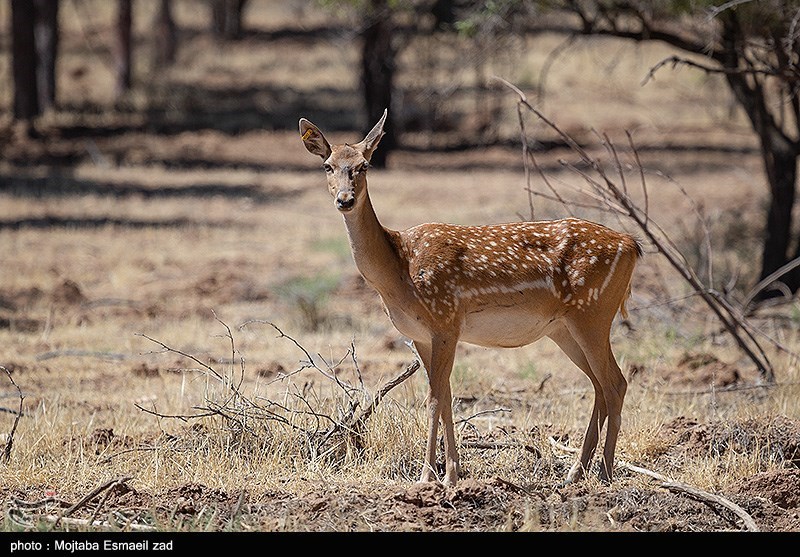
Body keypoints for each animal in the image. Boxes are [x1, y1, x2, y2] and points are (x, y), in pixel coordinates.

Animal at [300, 108, 644, 486]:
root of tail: (632, 245)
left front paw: (427, 475)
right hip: (564, 327)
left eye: (364, 165)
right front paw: (452, 472)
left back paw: (605, 471)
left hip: (593, 312)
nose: (344, 200)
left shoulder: (446, 320)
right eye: (327, 166)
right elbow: (447, 398)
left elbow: (434, 399)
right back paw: (575, 471)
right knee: (599, 384)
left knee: (616, 382)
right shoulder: (421, 335)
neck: (399, 269)